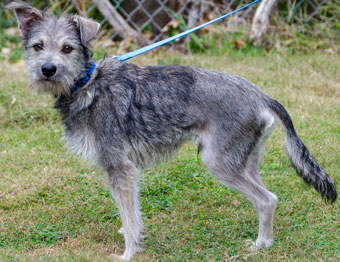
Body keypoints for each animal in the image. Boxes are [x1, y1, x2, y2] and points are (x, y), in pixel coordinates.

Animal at [7, 1, 338, 260]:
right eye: (38, 46)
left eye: (68, 48)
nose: (47, 70)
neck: (88, 84)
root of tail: (261, 96)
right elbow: (130, 214)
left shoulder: (119, 168)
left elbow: (129, 217)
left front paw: (128, 253)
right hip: (245, 162)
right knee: (269, 198)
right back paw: (265, 242)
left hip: (219, 163)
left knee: (267, 200)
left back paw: (259, 246)